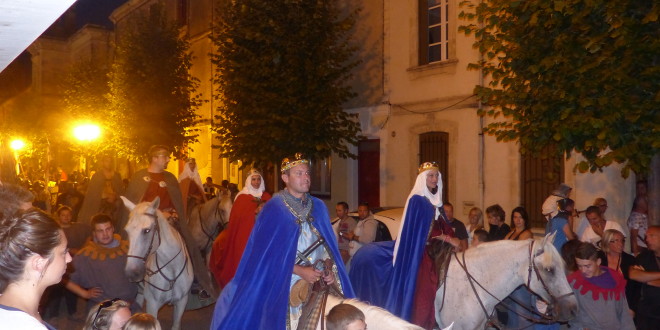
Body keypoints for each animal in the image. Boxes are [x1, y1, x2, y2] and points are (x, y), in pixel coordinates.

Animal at [121, 196, 193, 330]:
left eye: (147, 230)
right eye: (127, 231)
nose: (131, 273)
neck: (172, 270)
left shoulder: (181, 302)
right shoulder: (152, 305)